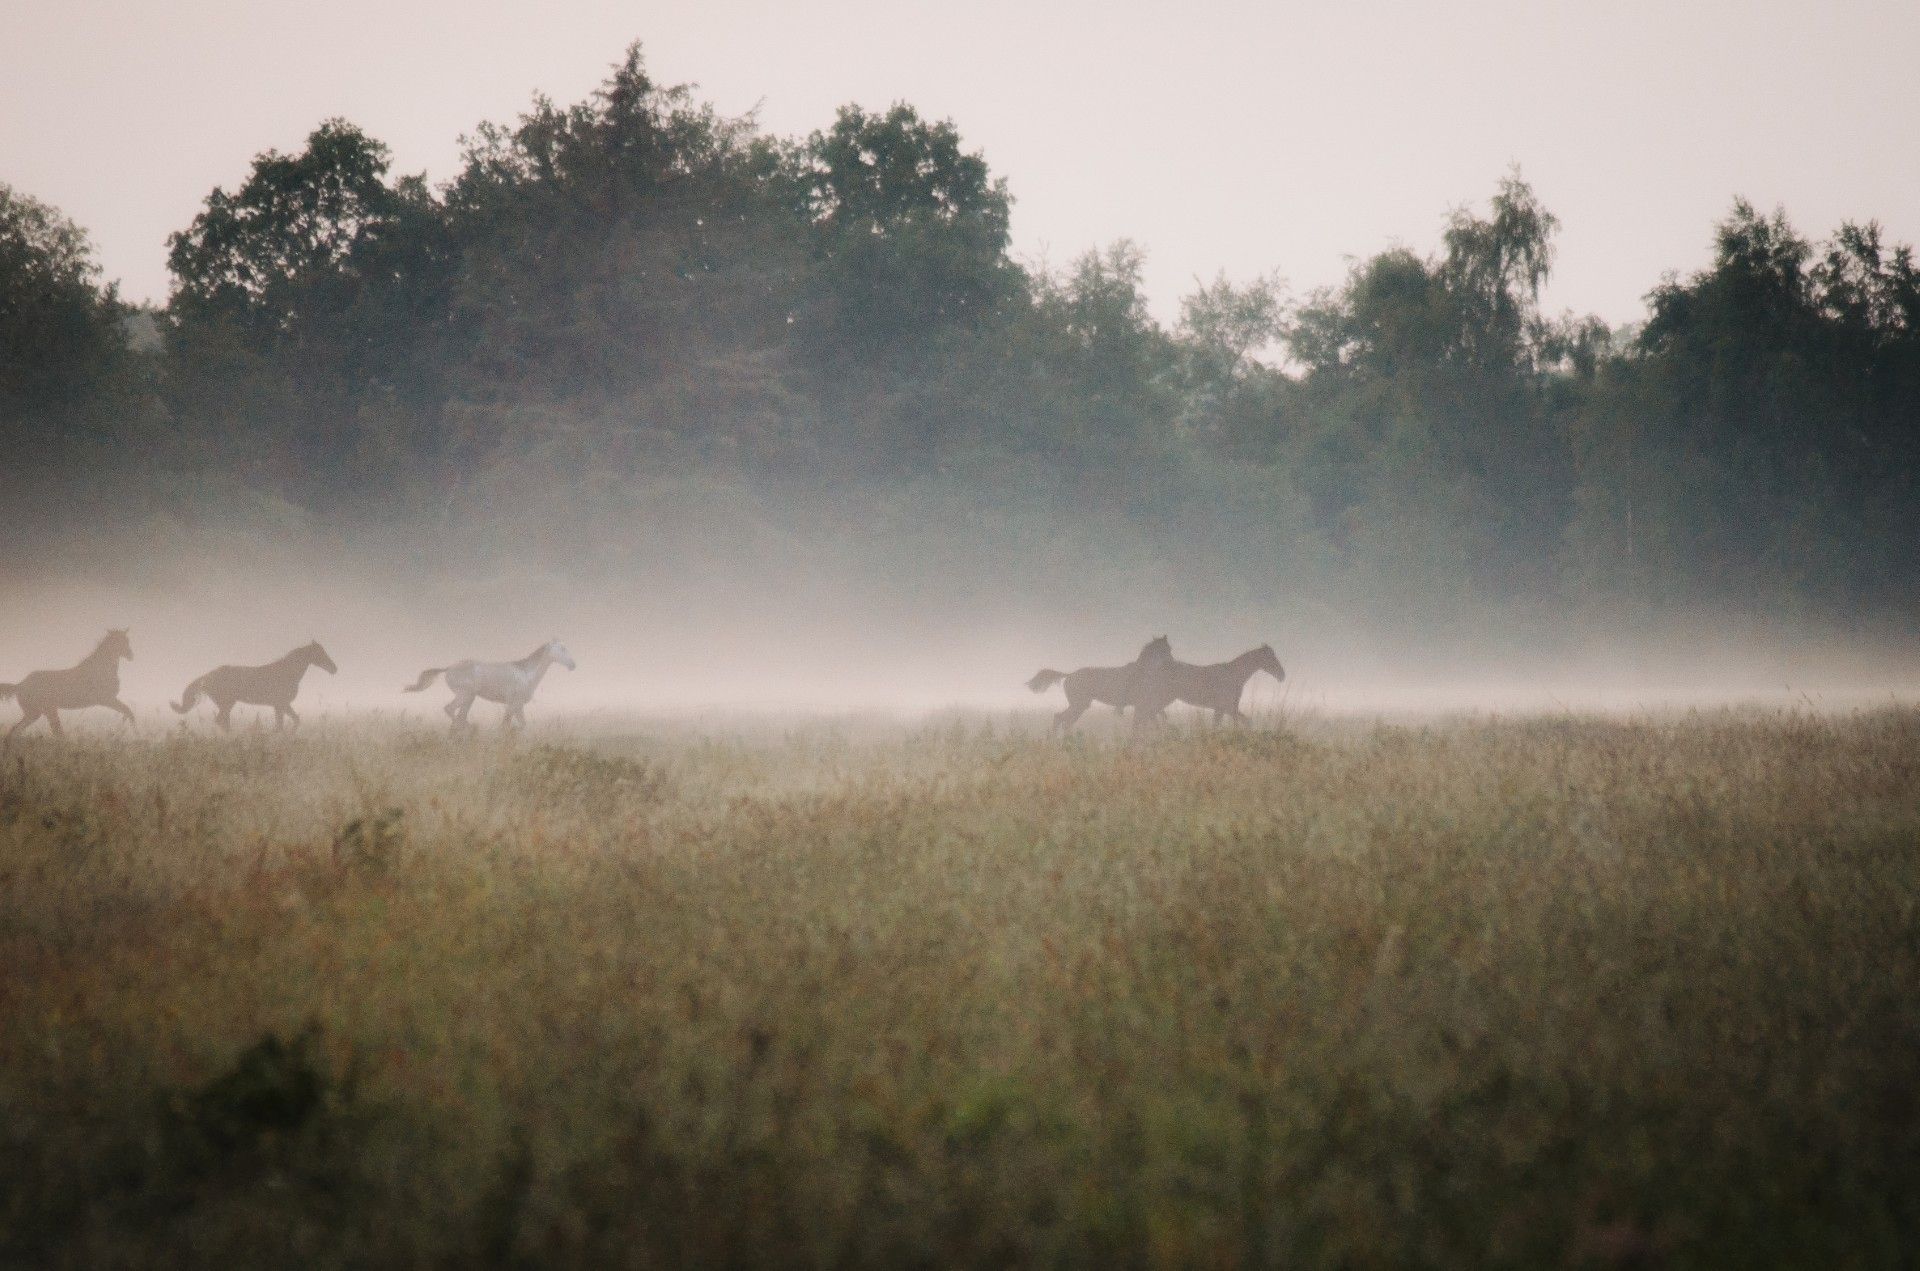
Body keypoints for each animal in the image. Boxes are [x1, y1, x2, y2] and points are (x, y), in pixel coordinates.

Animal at [0, 633, 137, 741]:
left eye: (127, 640)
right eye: (119, 642)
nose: (131, 655)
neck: (101, 668)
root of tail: (20, 685)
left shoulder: (108, 700)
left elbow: (128, 711)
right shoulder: (106, 699)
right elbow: (128, 711)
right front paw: (134, 733)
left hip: (35, 713)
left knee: (15, 731)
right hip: (44, 711)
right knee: (56, 733)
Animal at [172, 641, 337, 733]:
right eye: (320, 653)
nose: (334, 668)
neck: (286, 672)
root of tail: (208, 676)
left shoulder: (280, 705)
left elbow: (288, 723)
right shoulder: (281, 704)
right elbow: (285, 725)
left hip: (226, 705)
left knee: (223, 722)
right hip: (226, 704)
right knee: (221, 722)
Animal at [401, 641, 572, 733]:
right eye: (562, 649)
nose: (573, 665)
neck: (526, 674)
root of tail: (449, 668)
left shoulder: (518, 706)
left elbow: (519, 725)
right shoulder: (513, 704)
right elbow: (508, 725)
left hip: (469, 699)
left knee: (459, 717)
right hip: (465, 695)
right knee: (450, 710)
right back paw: (470, 730)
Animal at [1029, 637, 1175, 737]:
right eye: (1166, 649)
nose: (1172, 663)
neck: (1142, 671)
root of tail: (1070, 674)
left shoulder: (1147, 706)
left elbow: (1154, 721)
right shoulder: (1143, 705)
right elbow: (1145, 724)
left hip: (1079, 705)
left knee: (1064, 721)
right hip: (1079, 705)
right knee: (1061, 719)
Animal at [1128, 648, 1282, 725]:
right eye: (1271, 658)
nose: (1282, 675)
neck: (1234, 674)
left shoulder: (1225, 708)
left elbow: (1243, 722)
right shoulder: (1226, 707)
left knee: (1147, 716)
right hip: (1162, 698)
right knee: (1145, 715)